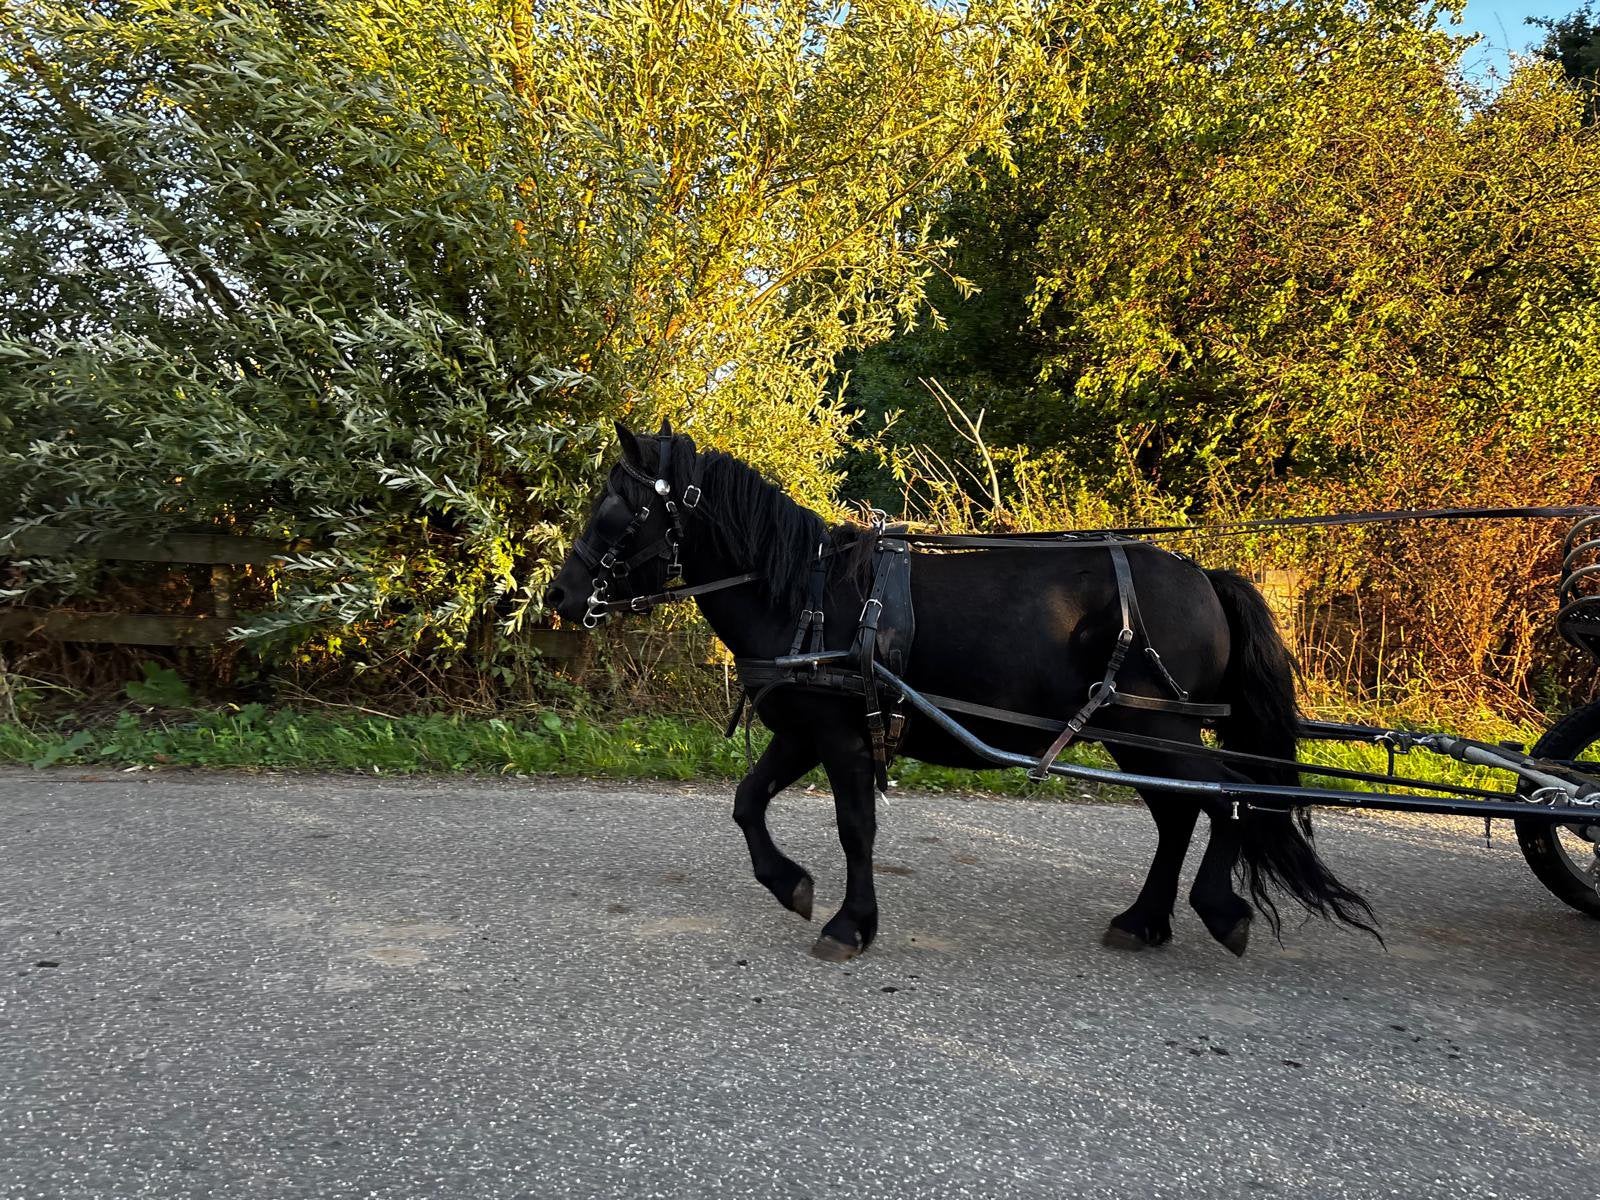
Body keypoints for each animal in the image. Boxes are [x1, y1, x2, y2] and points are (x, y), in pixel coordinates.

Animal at [544, 421, 1377, 962]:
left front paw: (850, 923)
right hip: (1134, 734)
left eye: (618, 509)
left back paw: (1218, 908)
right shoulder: (803, 730)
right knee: (1180, 813)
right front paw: (791, 886)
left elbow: (856, 829)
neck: (805, 595)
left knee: (1229, 795)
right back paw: (1143, 920)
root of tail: (1206, 577)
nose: (558, 596)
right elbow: (748, 804)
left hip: (1159, 729)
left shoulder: (841, 735)